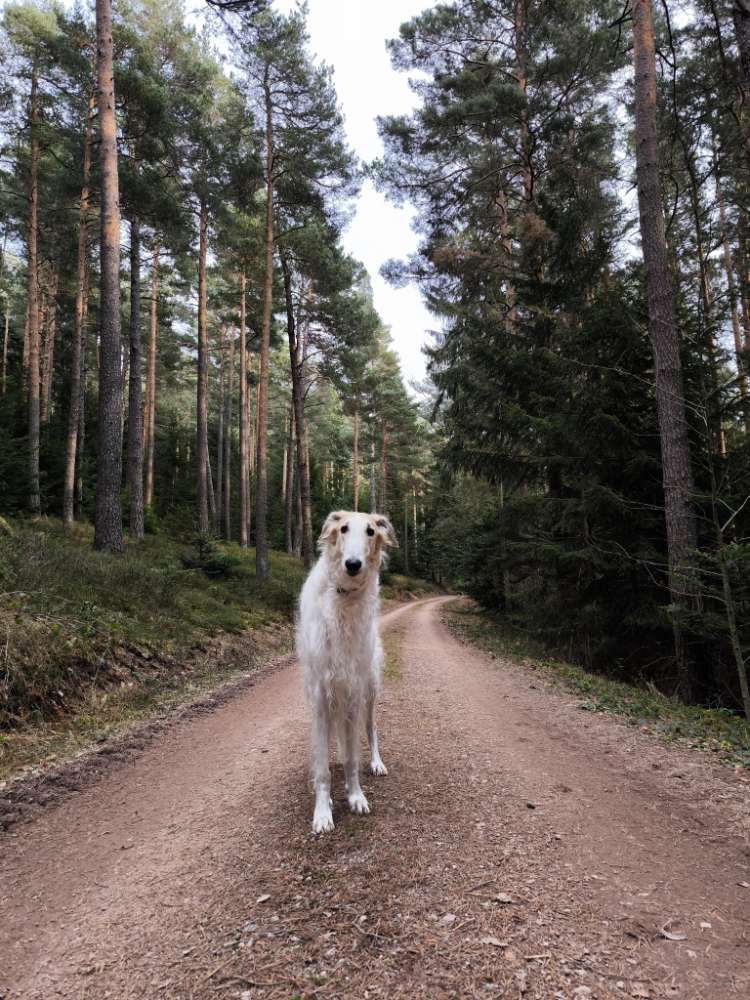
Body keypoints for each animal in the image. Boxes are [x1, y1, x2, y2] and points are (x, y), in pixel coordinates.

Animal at [298, 512, 400, 832]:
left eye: (371, 531)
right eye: (343, 528)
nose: (353, 565)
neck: (344, 598)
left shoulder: (353, 692)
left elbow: (353, 759)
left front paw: (355, 796)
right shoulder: (321, 694)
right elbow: (323, 768)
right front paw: (322, 812)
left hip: (369, 689)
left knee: (370, 729)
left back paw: (376, 763)